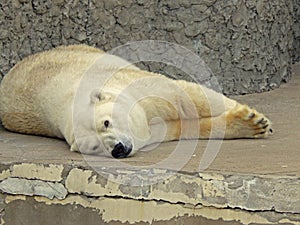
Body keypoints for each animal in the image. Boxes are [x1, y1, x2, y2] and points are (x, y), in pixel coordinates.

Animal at [0, 44, 272, 158]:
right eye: (94, 147)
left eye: (106, 122)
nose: (118, 149)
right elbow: (180, 128)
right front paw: (249, 124)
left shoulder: (136, 87)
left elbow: (185, 98)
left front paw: (255, 119)